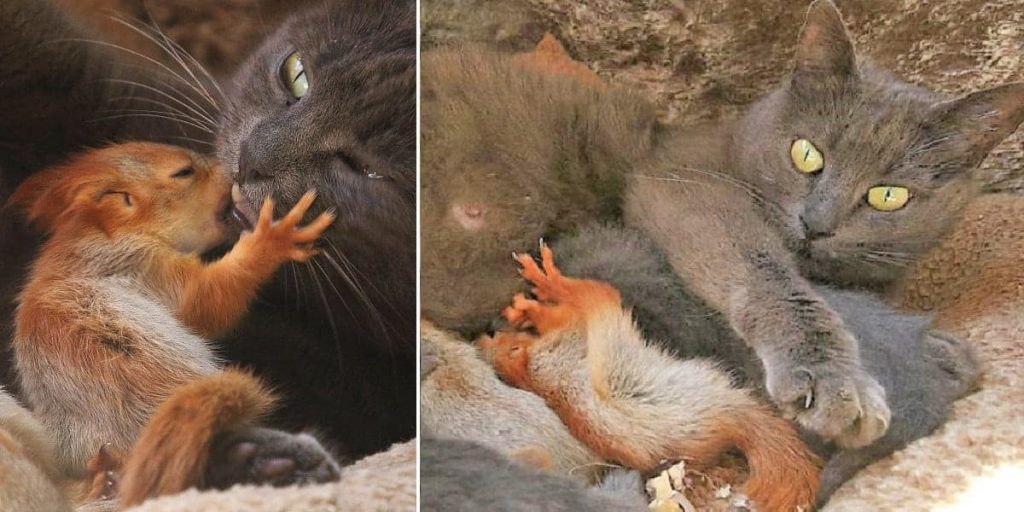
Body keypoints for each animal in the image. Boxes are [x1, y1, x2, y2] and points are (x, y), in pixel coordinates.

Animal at [8, 142, 339, 507]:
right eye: (183, 172)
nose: (238, 171)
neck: (103, 233)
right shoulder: (143, 265)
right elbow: (206, 299)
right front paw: (273, 237)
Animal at [479, 242, 820, 511]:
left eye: (497, 337)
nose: (487, 332)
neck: (531, 371)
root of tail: (735, 417)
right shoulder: (566, 336)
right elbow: (565, 313)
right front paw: (536, 303)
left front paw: (524, 309)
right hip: (609, 324)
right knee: (596, 292)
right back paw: (552, 282)